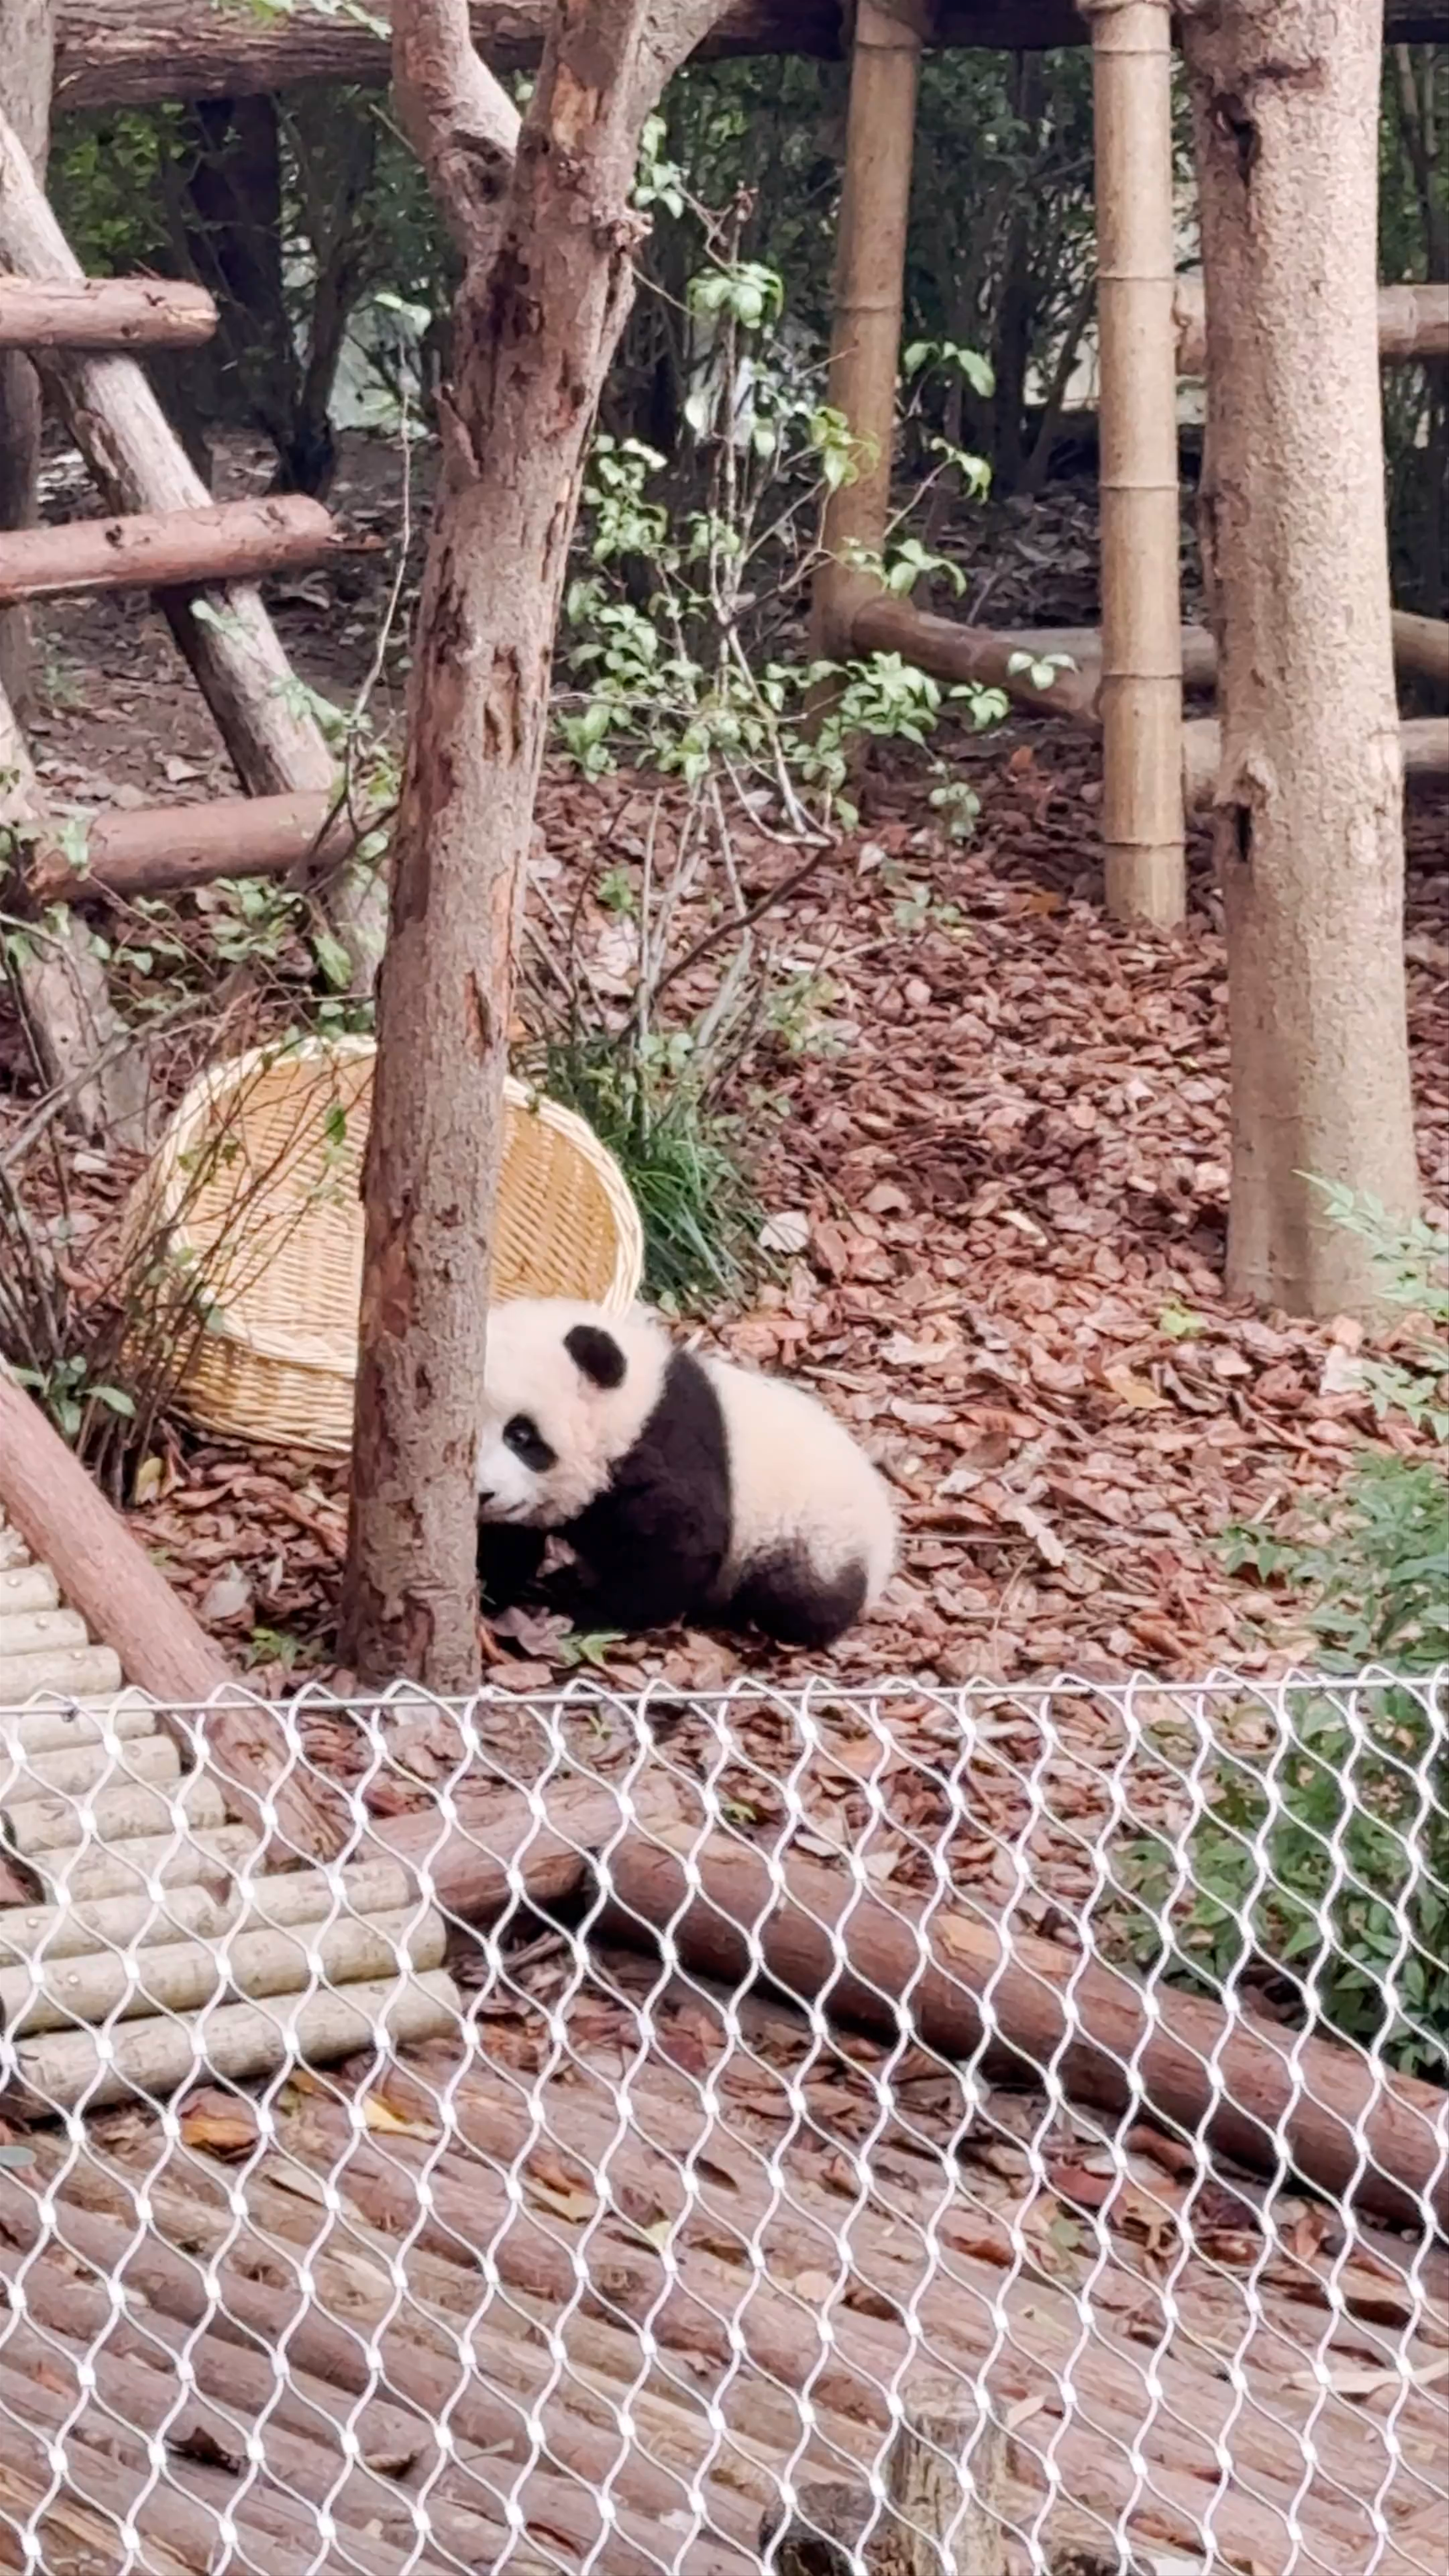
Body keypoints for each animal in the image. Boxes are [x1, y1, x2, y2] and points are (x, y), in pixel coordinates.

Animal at [475, 1297, 897, 1649]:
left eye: (521, 1435)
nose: (484, 1494)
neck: (630, 1408)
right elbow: (507, 1544)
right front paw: (491, 1588)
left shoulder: (667, 1450)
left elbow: (676, 1548)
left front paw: (586, 1612)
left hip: (817, 1537)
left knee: (797, 1599)